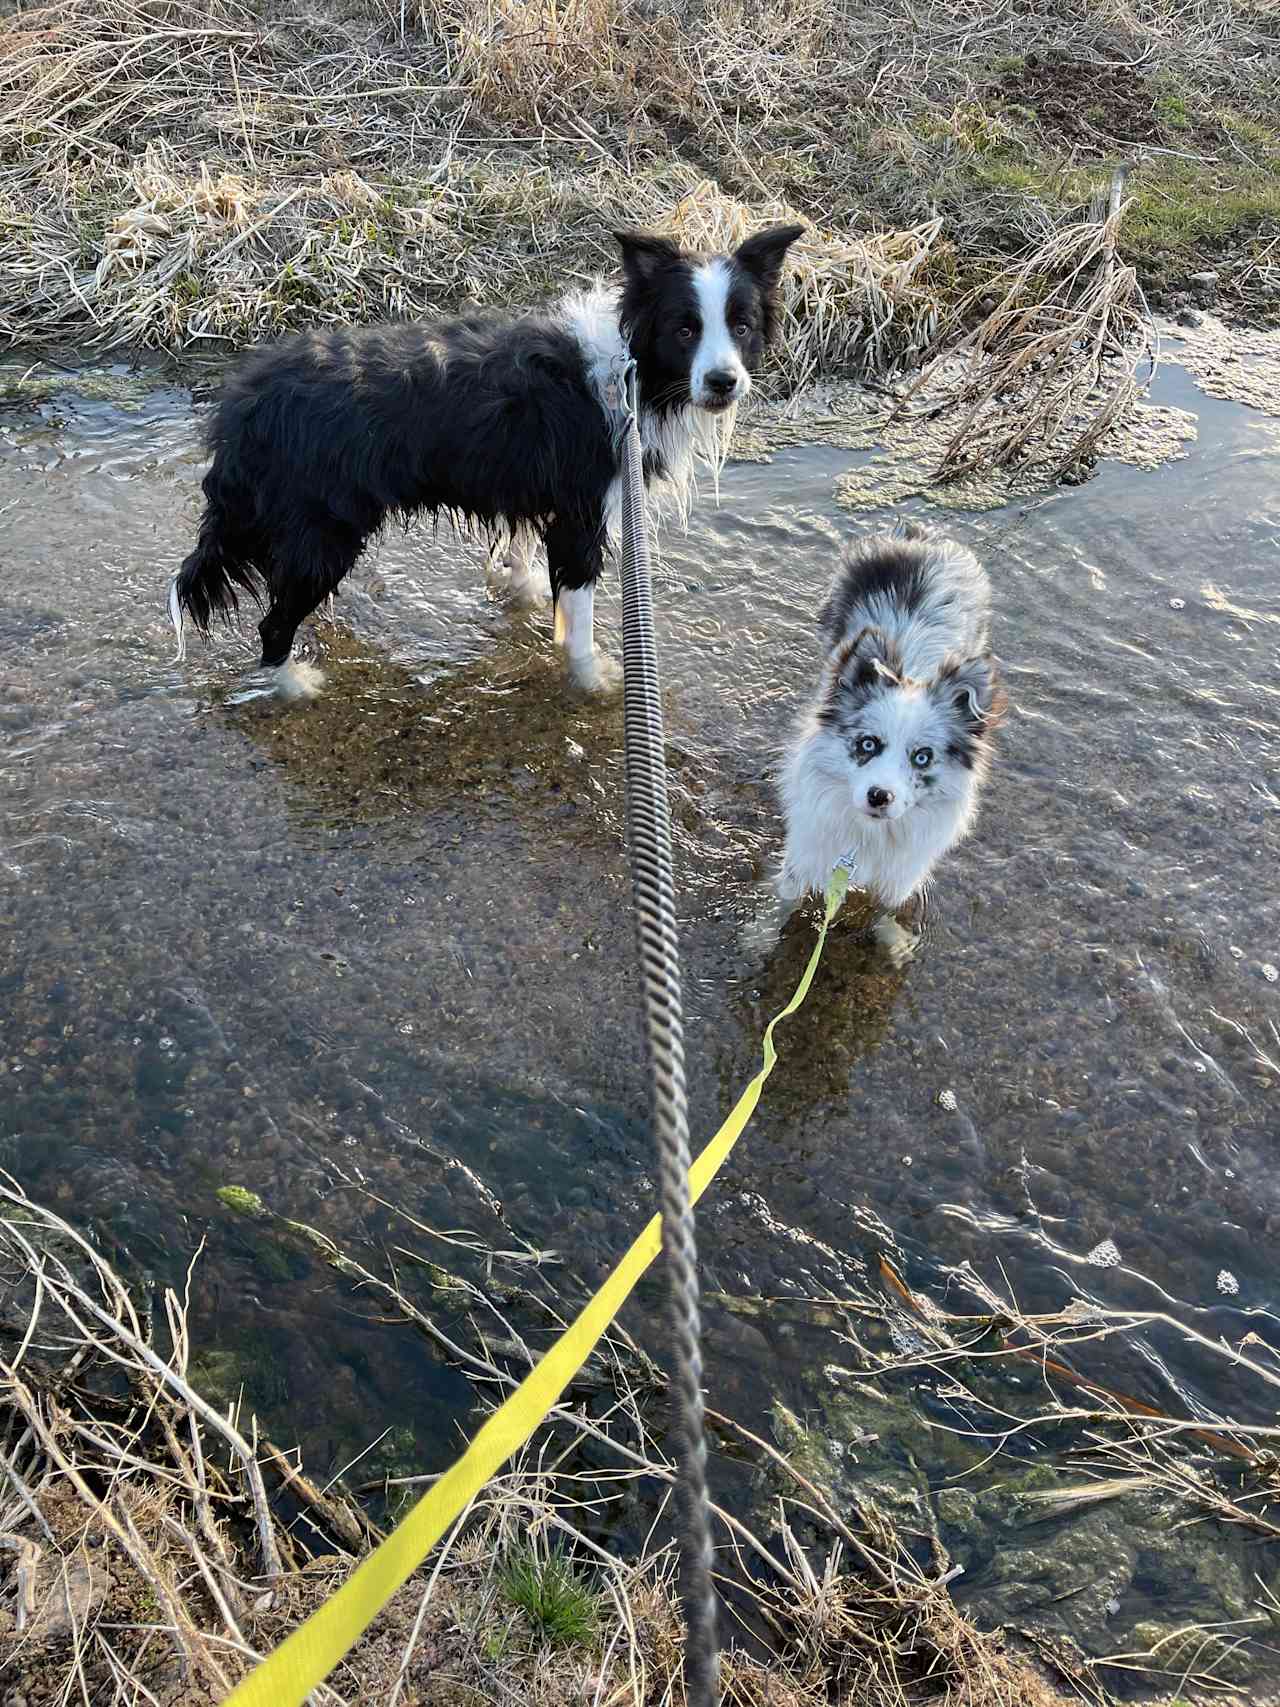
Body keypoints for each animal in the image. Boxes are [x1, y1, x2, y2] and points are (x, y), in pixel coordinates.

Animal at [168, 225, 802, 693]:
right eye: (685, 329)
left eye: (741, 326)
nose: (723, 383)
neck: (632, 370)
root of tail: (247, 402)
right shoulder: (582, 514)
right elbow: (579, 609)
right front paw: (592, 677)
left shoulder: (536, 495)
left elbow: (522, 557)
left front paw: (520, 591)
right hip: (326, 533)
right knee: (272, 622)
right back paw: (294, 684)